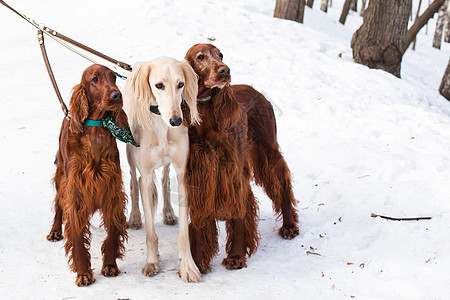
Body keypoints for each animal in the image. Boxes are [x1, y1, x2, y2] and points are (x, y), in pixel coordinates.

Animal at [46, 63, 128, 286]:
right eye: (94, 79)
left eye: (113, 78)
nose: (117, 95)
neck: (95, 133)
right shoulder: (76, 195)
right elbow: (77, 237)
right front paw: (83, 272)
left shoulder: (112, 191)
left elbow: (113, 231)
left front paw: (110, 264)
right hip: (61, 178)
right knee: (58, 205)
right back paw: (55, 231)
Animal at [123, 55, 200, 282]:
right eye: (159, 85)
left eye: (180, 84)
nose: (176, 121)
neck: (161, 124)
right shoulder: (146, 176)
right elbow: (150, 232)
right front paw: (152, 262)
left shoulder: (183, 173)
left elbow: (184, 234)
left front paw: (187, 266)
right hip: (130, 153)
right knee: (133, 181)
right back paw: (135, 217)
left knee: (165, 180)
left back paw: (167, 213)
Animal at [179, 44, 298, 272]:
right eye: (201, 57)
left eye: (220, 54)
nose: (224, 70)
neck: (205, 109)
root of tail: (257, 91)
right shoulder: (198, 171)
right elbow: (199, 220)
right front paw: (197, 262)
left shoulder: (232, 172)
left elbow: (239, 213)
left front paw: (236, 255)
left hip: (267, 150)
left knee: (282, 183)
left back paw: (289, 226)